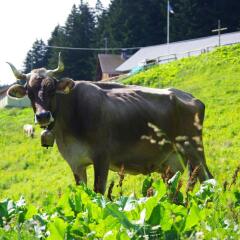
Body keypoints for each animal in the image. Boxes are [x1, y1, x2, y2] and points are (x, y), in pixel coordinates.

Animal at [6, 54, 213, 193]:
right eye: (29, 92)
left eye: (51, 88)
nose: (43, 116)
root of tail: (188, 95)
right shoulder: (76, 163)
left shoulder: (102, 157)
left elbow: (99, 192)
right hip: (172, 160)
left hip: (193, 149)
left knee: (207, 179)